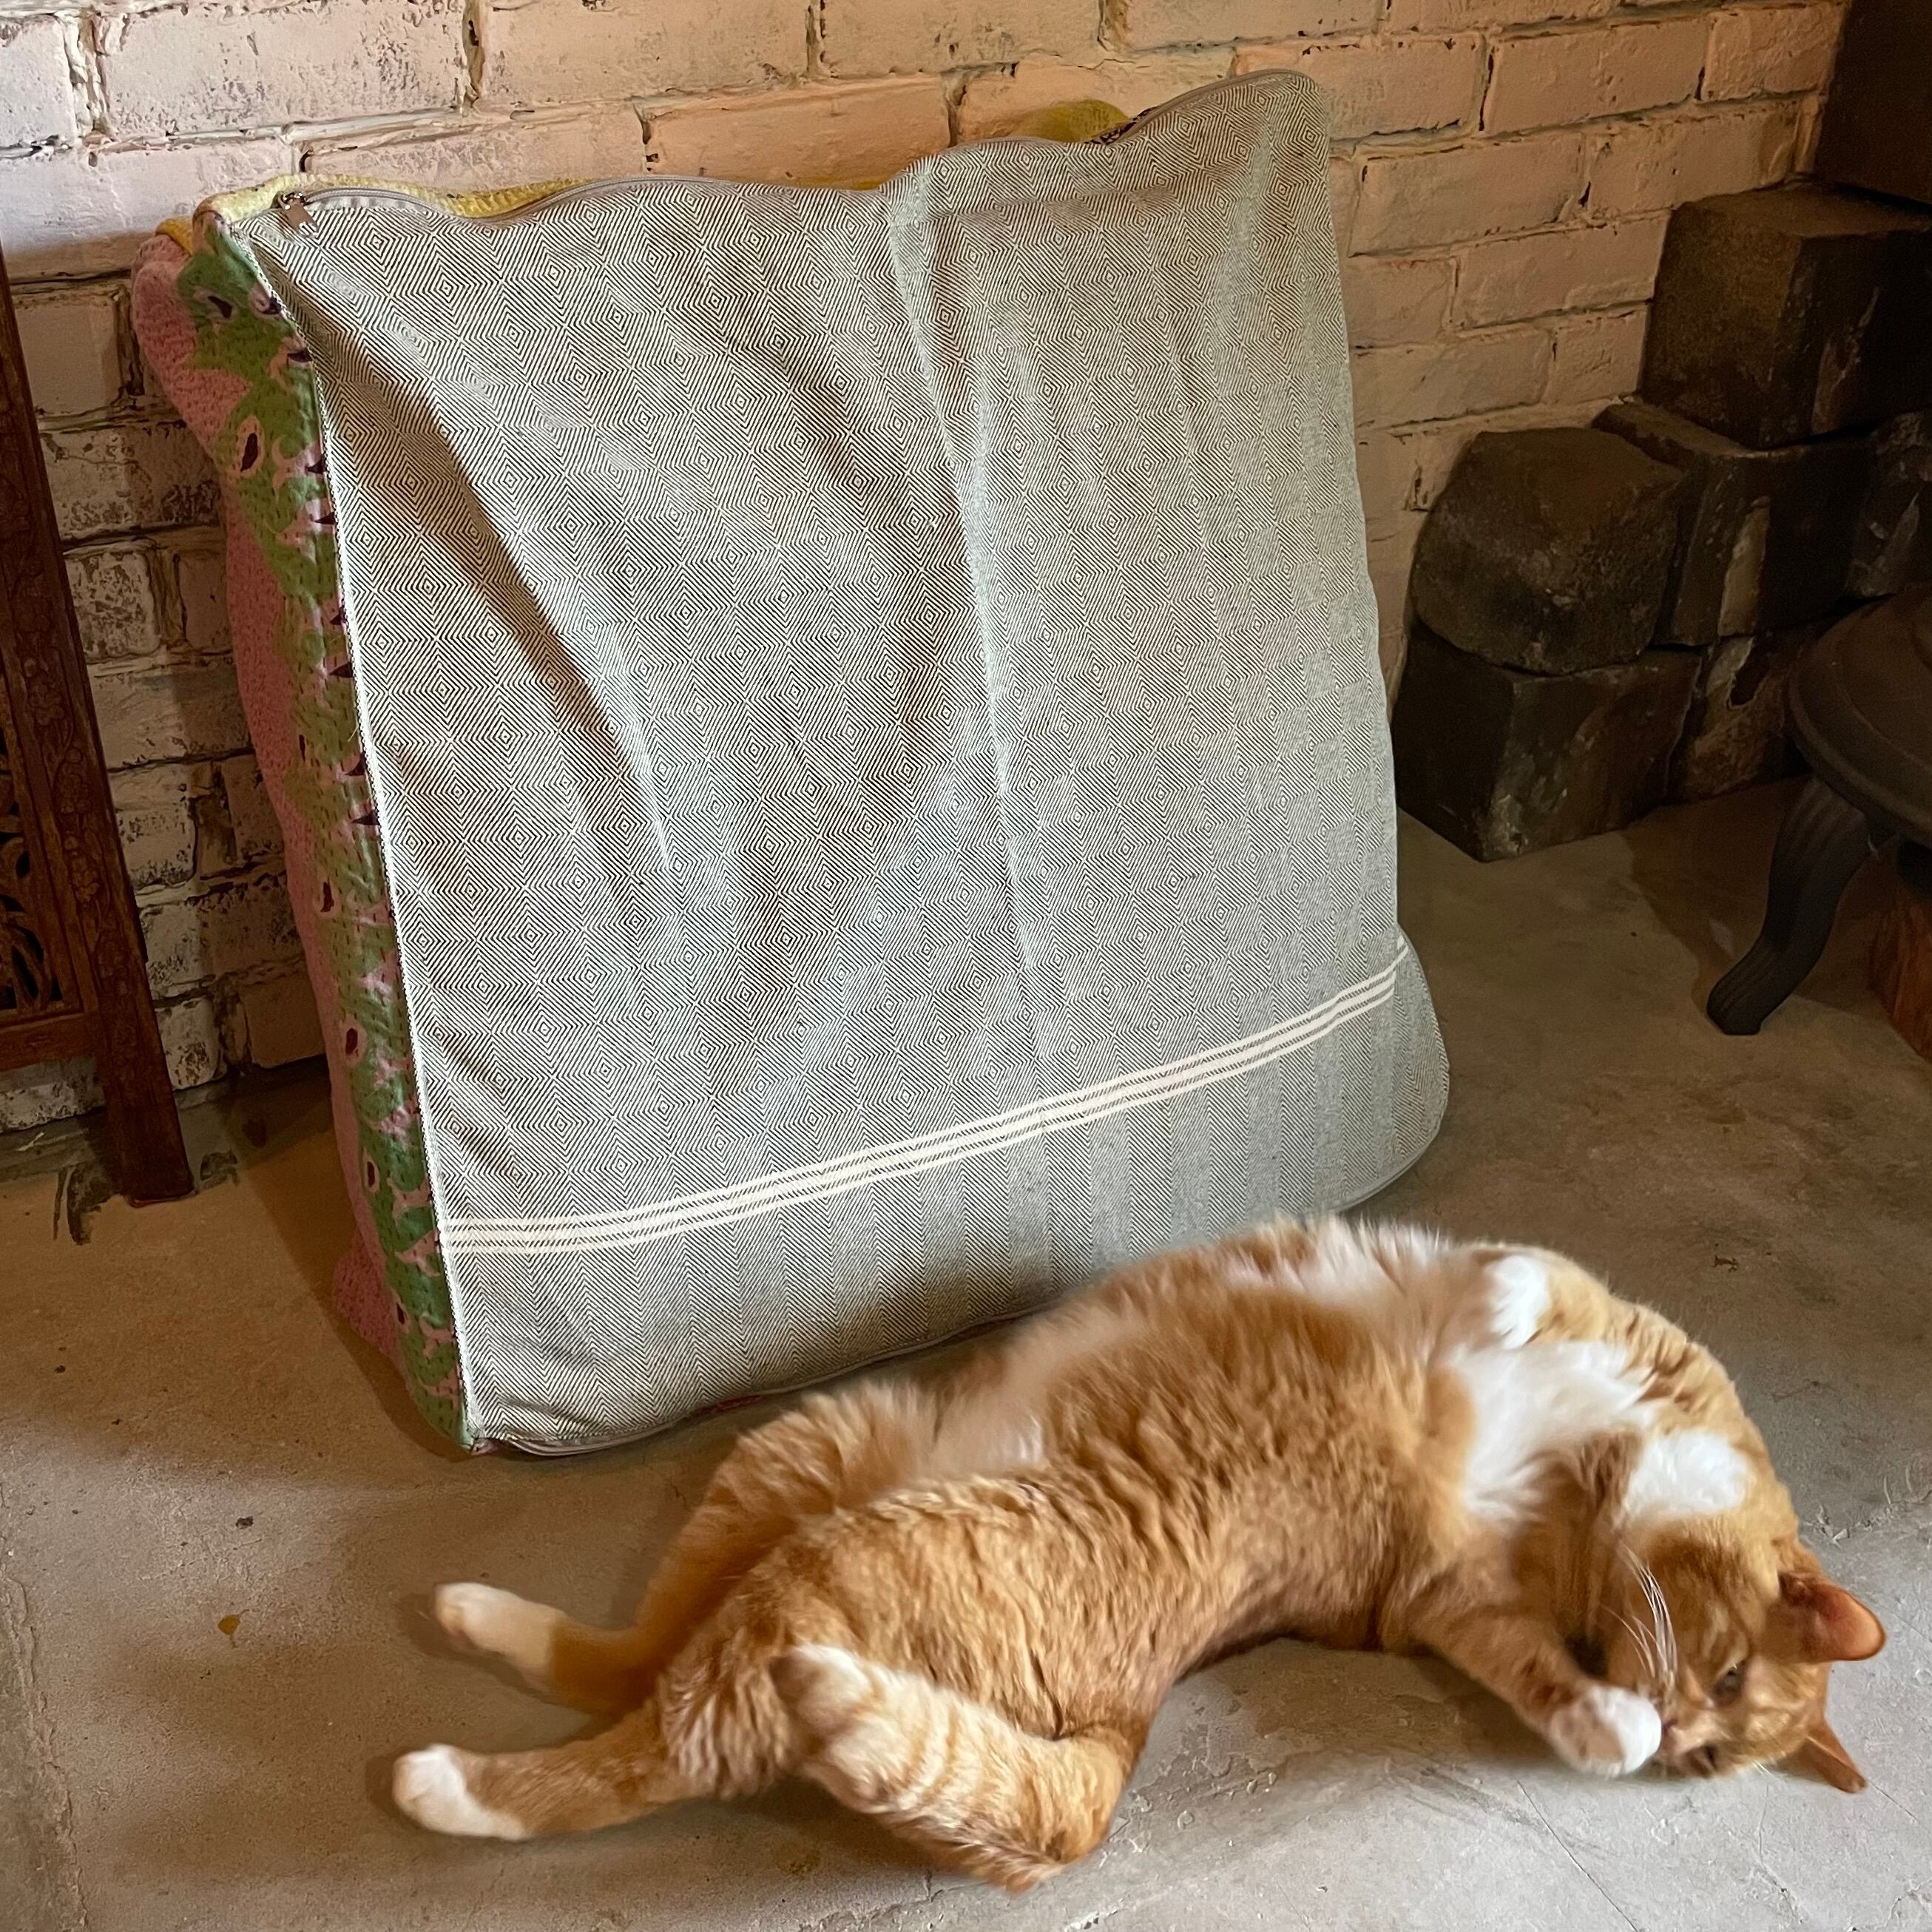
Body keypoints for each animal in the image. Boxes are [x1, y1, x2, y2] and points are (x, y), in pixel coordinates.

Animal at [393, 1218, 1885, 1890]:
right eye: (1730, 1676)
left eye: (1711, 1744)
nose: (1679, 1724)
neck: (1588, 1501)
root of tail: (1132, 1717)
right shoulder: (1588, 1335)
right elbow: (1528, 1280)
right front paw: (1504, 1314)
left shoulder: (1444, 1601)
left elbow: (1537, 1672)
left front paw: (1604, 1725)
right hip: (809, 1448)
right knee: (634, 1659)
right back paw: (473, 1620)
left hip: (828, 1566)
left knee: (658, 1734)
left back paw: (447, 1778)